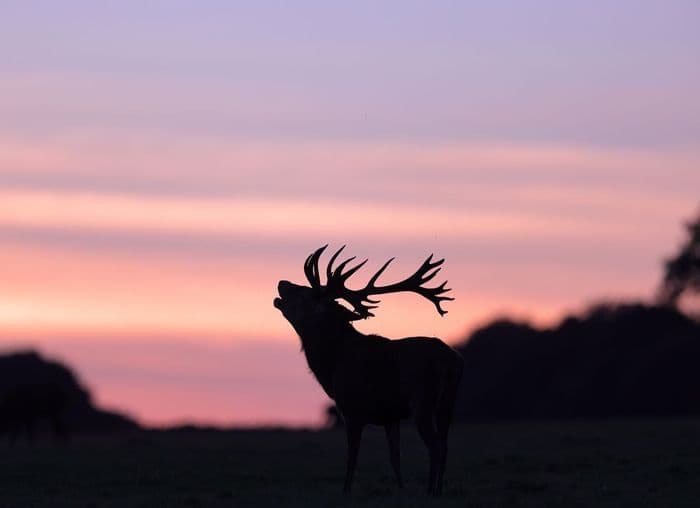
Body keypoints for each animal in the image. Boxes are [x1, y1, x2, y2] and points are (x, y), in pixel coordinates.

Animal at [273, 245, 464, 496]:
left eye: (305, 294)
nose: (282, 282)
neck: (332, 364)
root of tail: (453, 362)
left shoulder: (351, 410)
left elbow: (352, 459)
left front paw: (345, 491)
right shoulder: (390, 415)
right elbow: (395, 458)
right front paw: (401, 490)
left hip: (422, 398)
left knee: (435, 445)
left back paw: (431, 491)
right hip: (447, 403)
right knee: (445, 443)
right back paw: (438, 490)